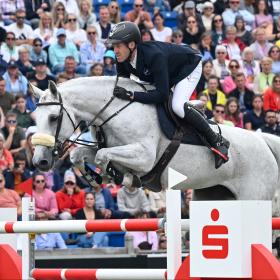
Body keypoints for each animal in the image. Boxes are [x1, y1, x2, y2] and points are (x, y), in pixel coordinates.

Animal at [31, 77, 280, 201]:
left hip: (253, 196)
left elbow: (102, 156)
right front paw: (94, 178)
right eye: (34, 117)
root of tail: (263, 142)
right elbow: (78, 155)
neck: (116, 110)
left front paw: (124, 178)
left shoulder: (144, 157)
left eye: (54, 118)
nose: (40, 161)